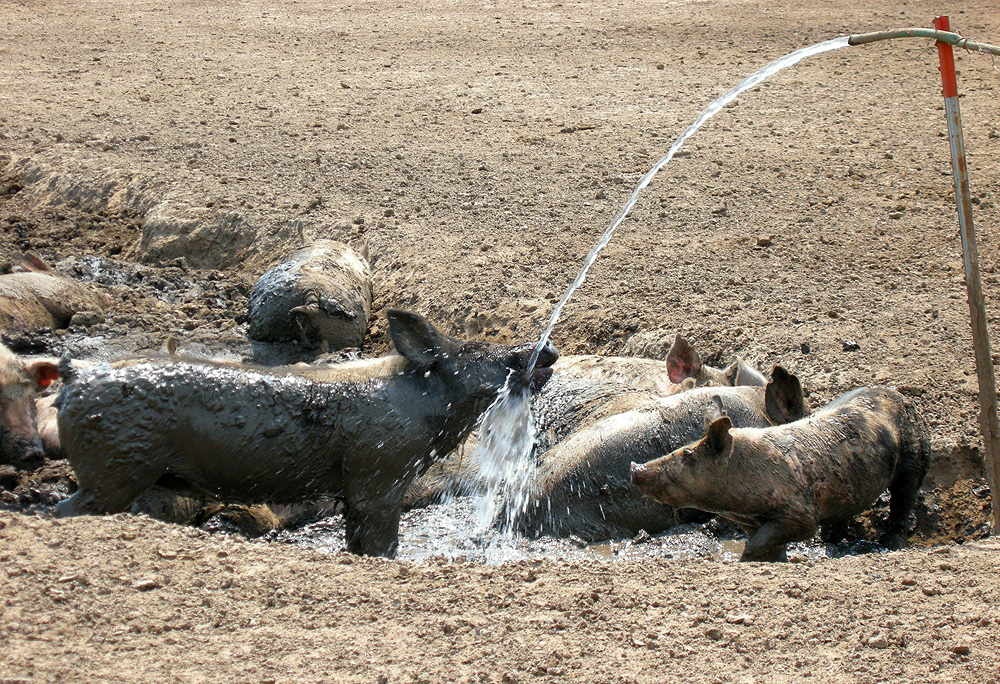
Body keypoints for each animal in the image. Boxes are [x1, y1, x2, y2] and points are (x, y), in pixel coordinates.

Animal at [54, 309, 558, 557]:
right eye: (476, 350)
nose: (547, 349)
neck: (426, 417)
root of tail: (75, 375)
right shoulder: (378, 473)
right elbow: (382, 544)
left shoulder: (355, 490)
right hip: (114, 467)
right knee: (65, 511)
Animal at [630, 386, 930, 561]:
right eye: (679, 448)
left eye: (688, 455)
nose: (635, 468)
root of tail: (901, 396)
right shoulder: (755, 521)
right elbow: (765, 542)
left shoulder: (799, 512)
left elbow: (768, 540)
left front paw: (747, 560)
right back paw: (831, 543)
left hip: (914, 455)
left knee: (904, 500)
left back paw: (891, 544)